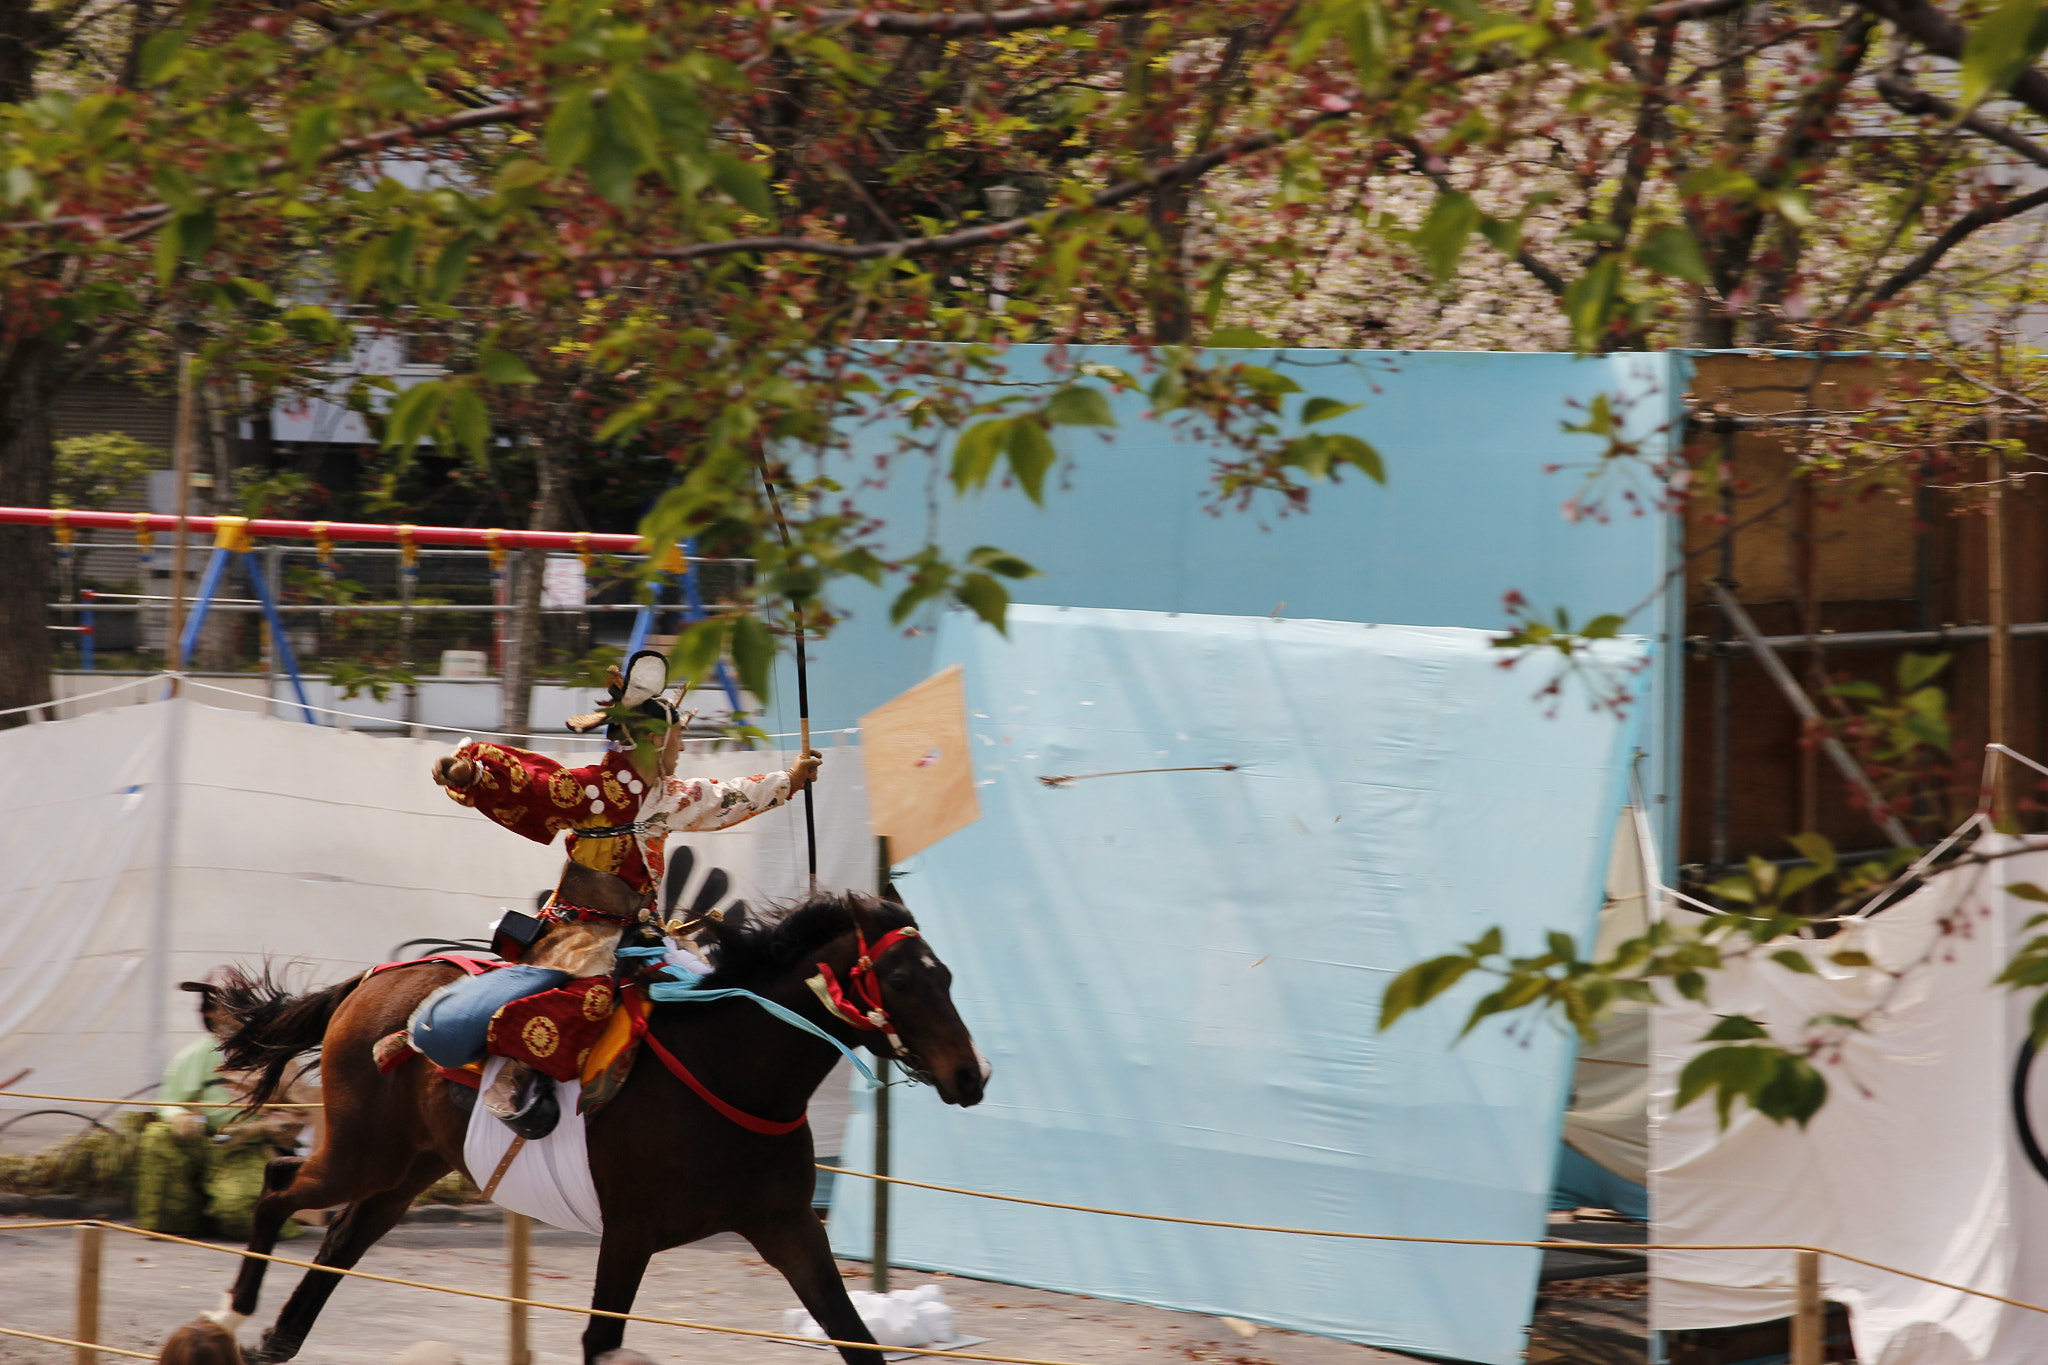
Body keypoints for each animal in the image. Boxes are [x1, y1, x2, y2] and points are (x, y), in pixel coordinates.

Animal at [203, 896, 987, 1365]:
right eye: (904, 981)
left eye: (947, 975)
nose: (970, 1075)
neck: (730, 1069)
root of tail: (372, 978)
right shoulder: (630, 1231)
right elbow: (600, 1337)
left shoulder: (786, 1223)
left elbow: (855, 1337)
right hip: (364, 1151)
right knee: (279, 1185)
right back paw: (235, 1311)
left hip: (413, 1165)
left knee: (341, 1237)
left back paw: (276, 1336)